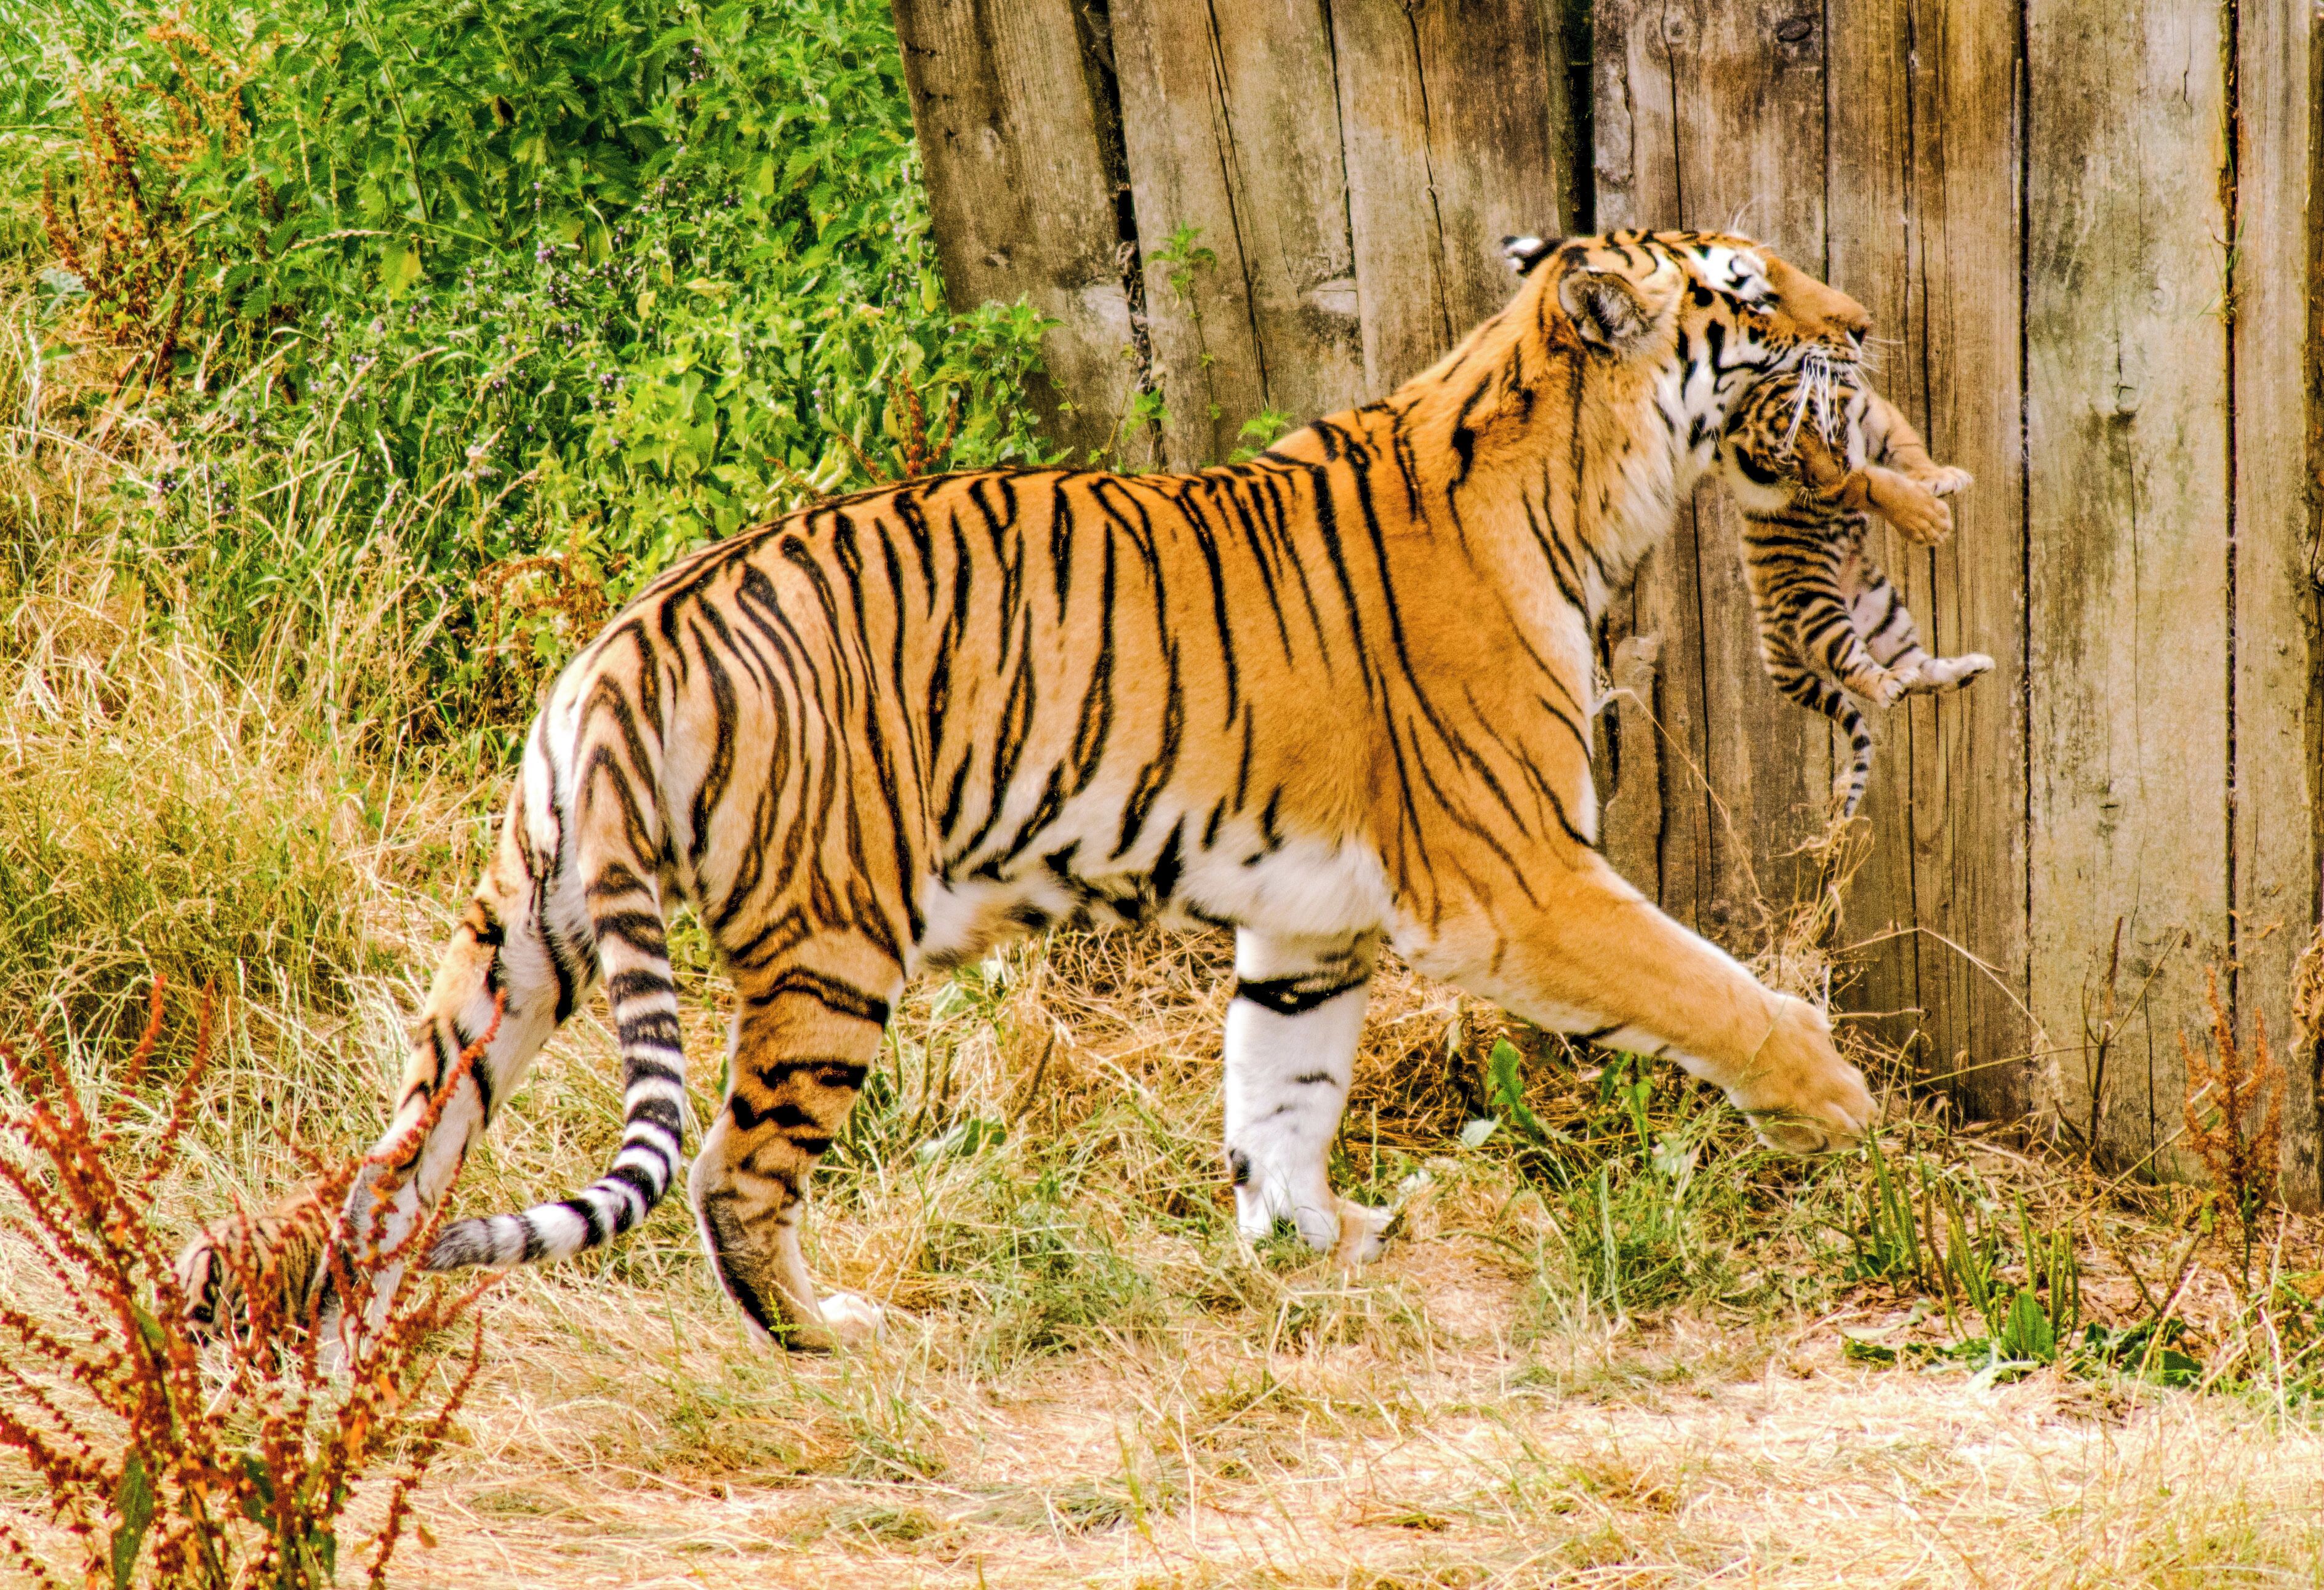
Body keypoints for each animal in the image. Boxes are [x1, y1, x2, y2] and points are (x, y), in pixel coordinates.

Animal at [180, 227, 1881, 1352]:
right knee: (731, 1173)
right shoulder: (1519, 879)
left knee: (400, 1156)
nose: (1866, 324)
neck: (1580, 475)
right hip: (831, 952)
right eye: (1749, 292)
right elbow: (1712, 988)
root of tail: (630, 639)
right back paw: (829, 1337)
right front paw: (1843, 1105)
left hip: (517, 940)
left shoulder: (1308, 924)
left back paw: (318, 1325)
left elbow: (1282, 1093)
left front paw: (1308, 1245)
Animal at [1717, 364, 1994, 815]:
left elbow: (1906, 446)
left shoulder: (1872, 411)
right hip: (1818, 608)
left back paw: (1965, 669)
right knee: (1855, 668)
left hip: (1879, 608)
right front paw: (1927, 518)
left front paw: (1938, 478)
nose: (1825, 483)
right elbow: (1868, 481)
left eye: (1820, 433)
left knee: (1918, 669)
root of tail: (1764, 635)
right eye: (1786, 462)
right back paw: (1886, 685)